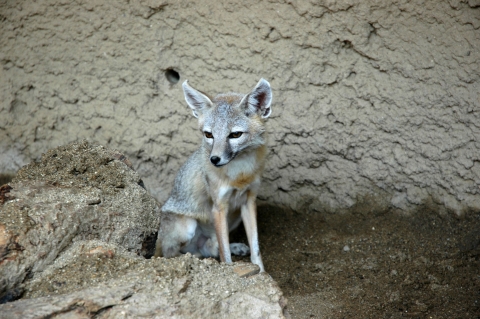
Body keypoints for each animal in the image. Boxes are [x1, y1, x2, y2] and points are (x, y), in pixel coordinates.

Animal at [155, 79, 274, 272]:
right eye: (208, 134)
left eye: (235, 134)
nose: (214, 159)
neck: (240, 173)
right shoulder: (219, 207)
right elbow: (224, 254)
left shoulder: (249, 201)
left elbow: (255, 248)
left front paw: (262, 273)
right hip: (188, 226)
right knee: (170, 255)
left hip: (234, 217)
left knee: (210, 248)